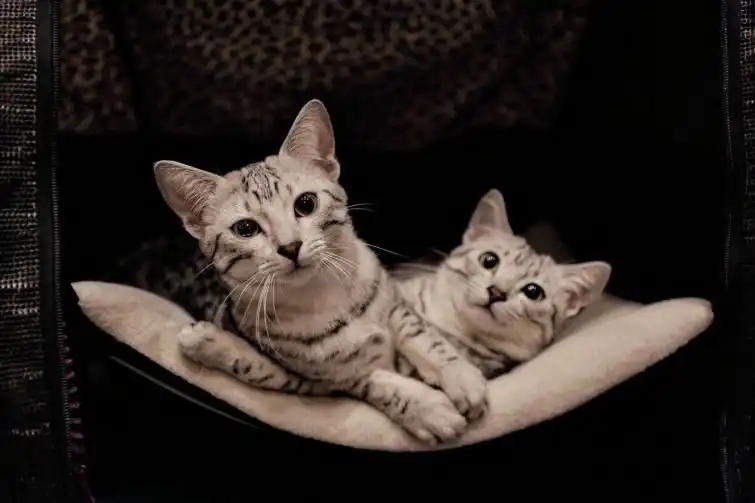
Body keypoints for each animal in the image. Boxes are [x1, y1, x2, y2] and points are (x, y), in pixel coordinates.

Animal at [147, 100, 488, 444]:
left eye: (306, 203)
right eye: (245, 228)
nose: (290, 247)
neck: (322, 294)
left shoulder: (389, 298)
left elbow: (420, 334)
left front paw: (460, 376)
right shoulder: (323, 380)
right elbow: (375, 382)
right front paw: (429, 409)